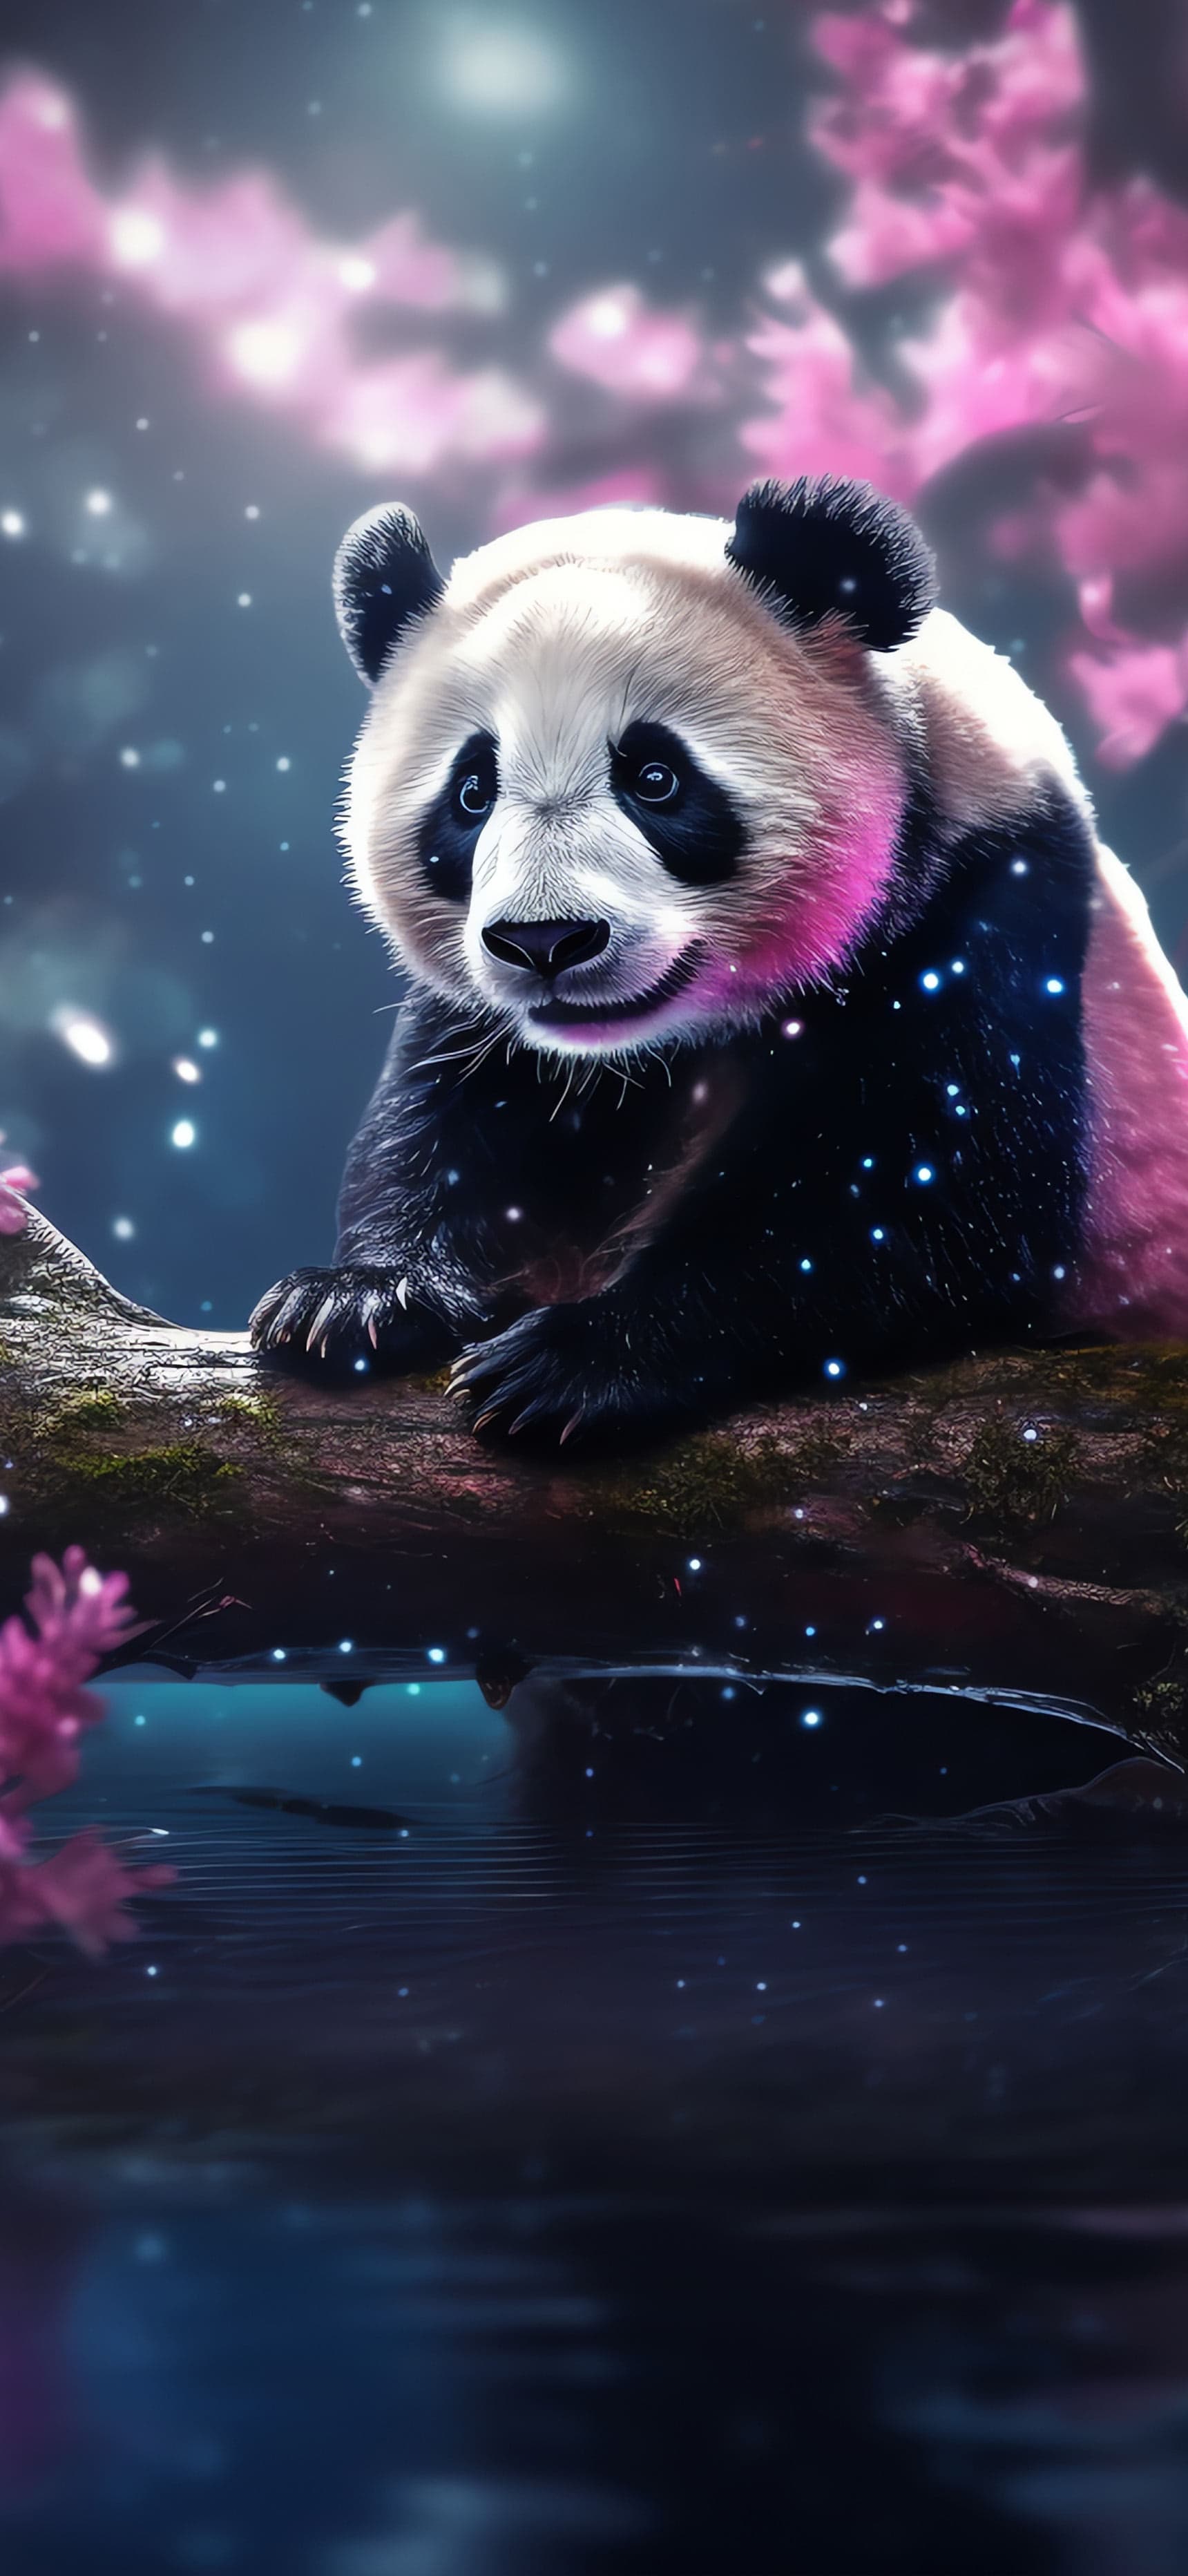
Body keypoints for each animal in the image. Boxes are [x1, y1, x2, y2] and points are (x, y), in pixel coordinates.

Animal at [250, 474, 1188, 1445]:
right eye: (471, 793)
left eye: (655, 777)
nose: (546, 942)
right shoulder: (491, 1017)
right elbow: (450, 1118)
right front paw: (355, 1300)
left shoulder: (982, 902)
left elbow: (936, 1194)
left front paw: (577, 1359)